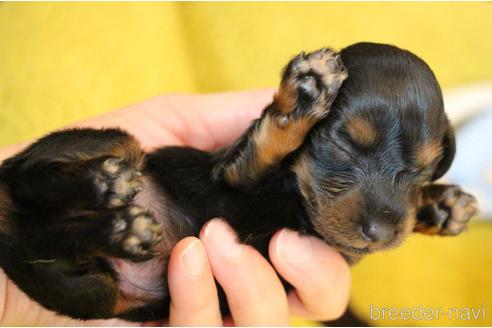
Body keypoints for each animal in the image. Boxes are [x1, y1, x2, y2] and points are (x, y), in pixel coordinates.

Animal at [0, 42, 478, 322]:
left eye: (421, 170)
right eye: (343, 145)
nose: (379, 232)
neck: (297, 199)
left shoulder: (344, 249)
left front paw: (443, 205)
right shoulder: (231, 172)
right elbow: (269, 144)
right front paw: (306, 93)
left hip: (87, 290)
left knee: (58, 241)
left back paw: (122, 228)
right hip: (113, 144)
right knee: (28, 180)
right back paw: (105, 184)